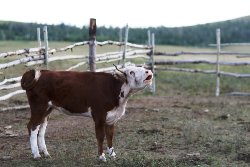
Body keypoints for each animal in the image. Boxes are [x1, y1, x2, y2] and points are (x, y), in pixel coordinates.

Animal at [21, 65, 153, 162]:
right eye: (131, 72)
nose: (148, 71)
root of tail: (42, 72)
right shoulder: (99, 116)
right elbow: (100, 136)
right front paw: (101, 157)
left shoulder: (111, 118)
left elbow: (110, 136)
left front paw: (113, 155)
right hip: (39, 107)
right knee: (32, 126)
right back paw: (36, 155)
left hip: (48, 109)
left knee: (41, 128)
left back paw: (45, 153)